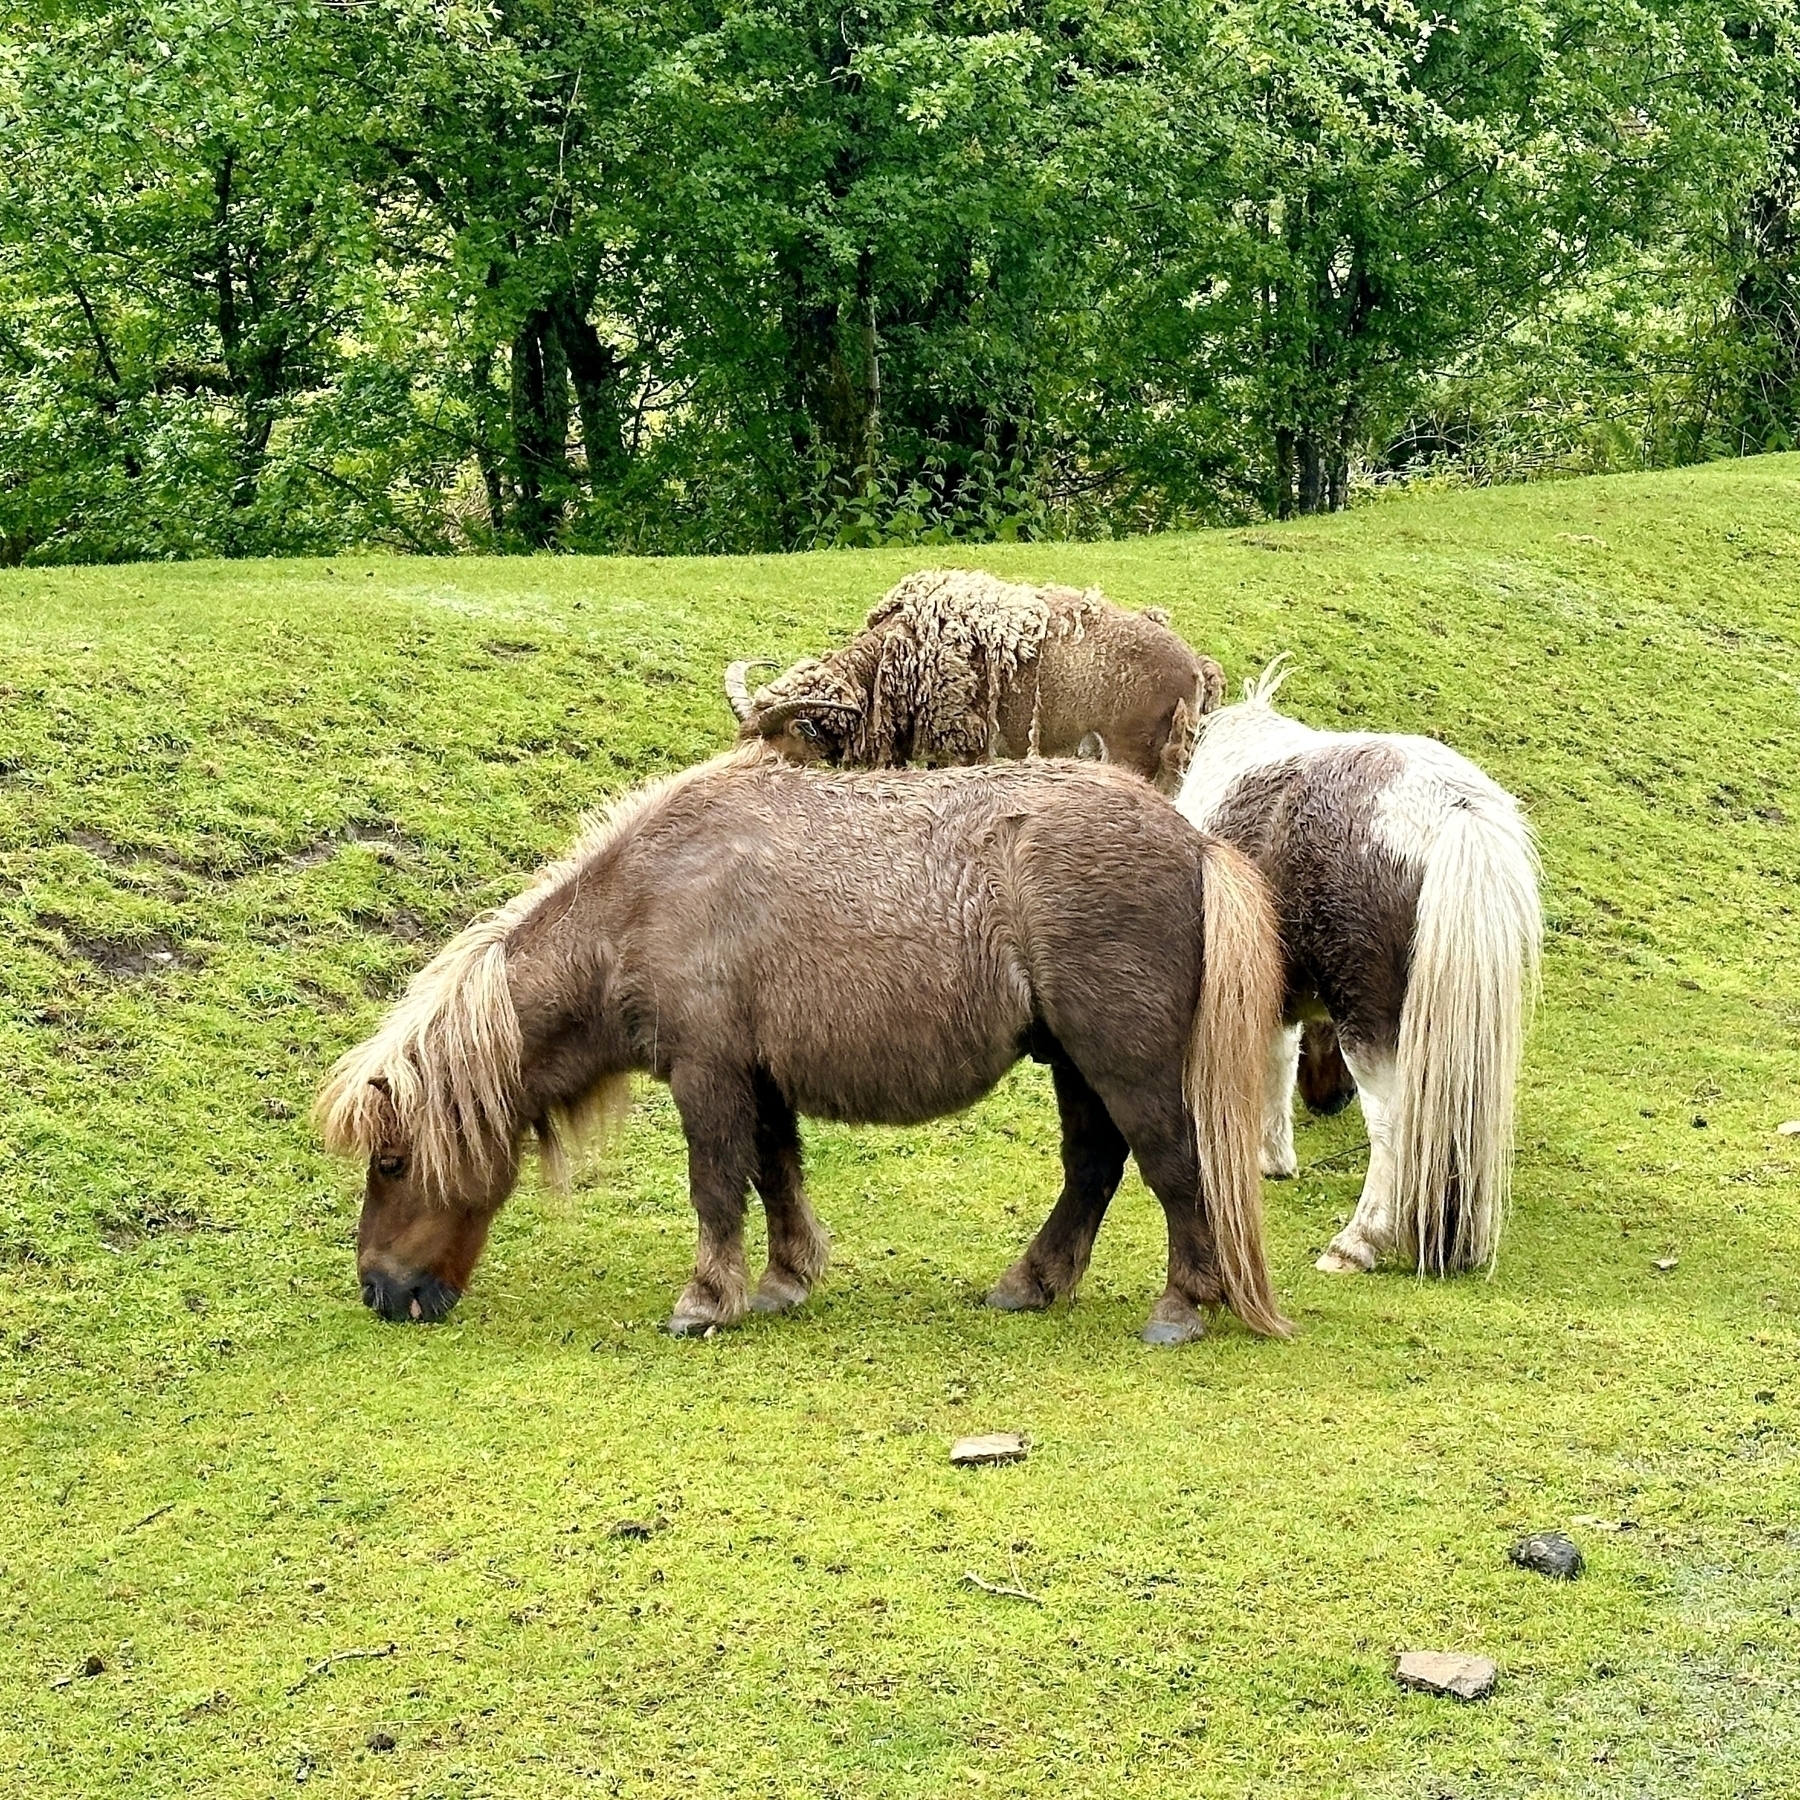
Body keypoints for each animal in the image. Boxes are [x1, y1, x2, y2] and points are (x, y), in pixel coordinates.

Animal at [316, 752, 1288, 1346]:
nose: (378, 1290)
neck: (645, 899)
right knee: (1093, 1168)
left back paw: (1181, 1304)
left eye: (392, 1163)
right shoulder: (761, 1078)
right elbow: (775, 1176)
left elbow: (716, 1186)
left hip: (1122, 1057)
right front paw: (784, 1281)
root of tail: (1193, 840)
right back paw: (1032, 1282)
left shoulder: (707, 1074)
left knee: (1172, 1166)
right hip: (1077, 1062)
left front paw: (706, 1300)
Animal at [1173, 666, 1540, 1281]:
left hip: (1369, 1023)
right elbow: (1277, 1057)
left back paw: (1358, 1241)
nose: (1330, 1100)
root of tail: (1453, 811)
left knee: (1392, 1125)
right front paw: (1271, 1157)